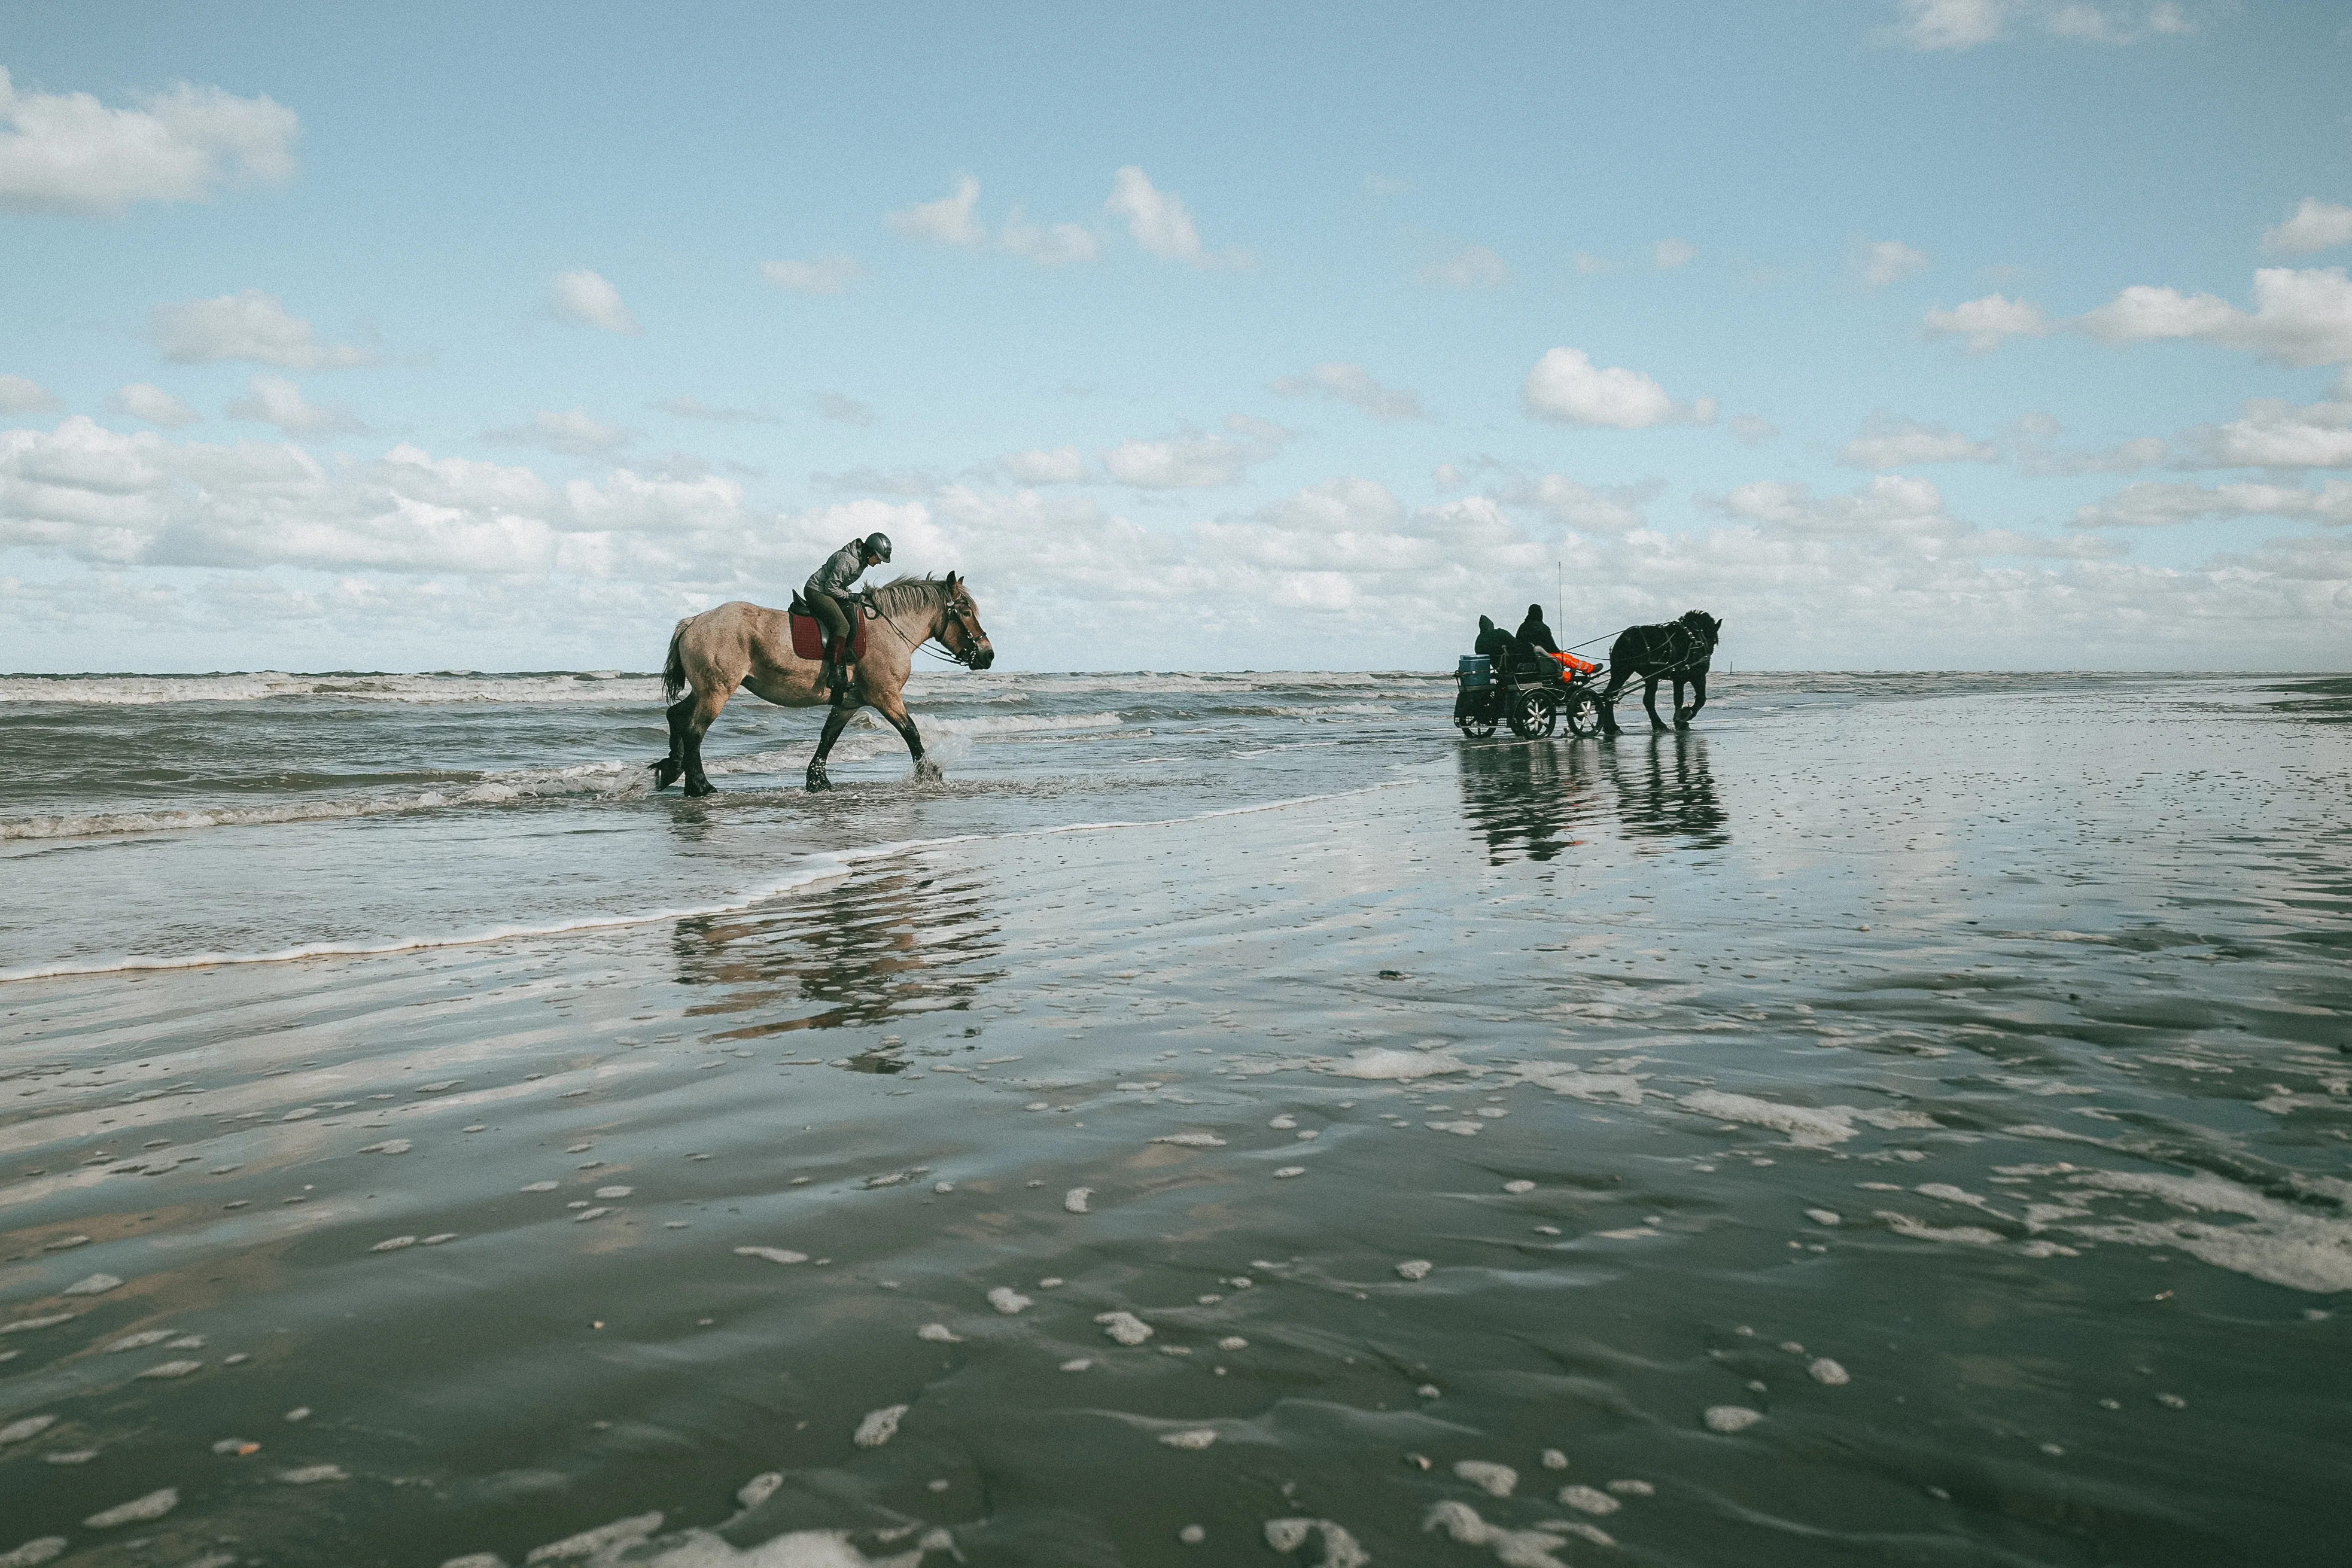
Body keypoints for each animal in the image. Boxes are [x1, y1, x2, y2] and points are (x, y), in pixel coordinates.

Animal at [650, 573, 993, 796]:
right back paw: (700, 785)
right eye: (965, 612)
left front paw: (817, 781)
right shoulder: (885, 696)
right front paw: (929, 775)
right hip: (717, 691)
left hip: (705, 690)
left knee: (677, 717)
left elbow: (828, 737)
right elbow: (911, 733)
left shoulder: (849, 703)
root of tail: (694, 622)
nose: (987, 655)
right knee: (695, 731)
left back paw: (673, 770)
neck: (888, 628)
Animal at [1596, 609, 1721, 735]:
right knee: (1647, 699)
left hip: (1622, 671)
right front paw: (1685, 716)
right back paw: (1658, 724)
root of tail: (1626, 638)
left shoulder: (1679, 679)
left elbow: (1678, 700)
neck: (1695, 636)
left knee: (1610, 694)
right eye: (1714, 639)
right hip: (1650, 676)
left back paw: (1612, 727)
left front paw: (1679, 721)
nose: (1708, 654)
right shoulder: (1698, 676)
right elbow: (1701, 699)